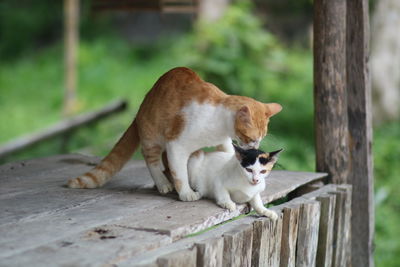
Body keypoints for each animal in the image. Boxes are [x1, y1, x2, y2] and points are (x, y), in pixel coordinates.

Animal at [68, 67, 282, 201]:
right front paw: (186, 193)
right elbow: (180, 172)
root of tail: (141, 108)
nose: (255, 148)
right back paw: (163, 184)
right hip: (152, 137)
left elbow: (227, 154)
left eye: (261, 139)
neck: (218, 121)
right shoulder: (176, 145)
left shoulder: (223, 141)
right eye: (251, 139)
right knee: (153, 161)